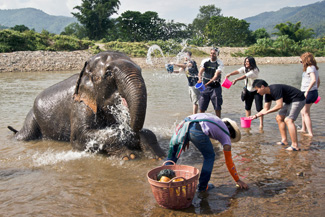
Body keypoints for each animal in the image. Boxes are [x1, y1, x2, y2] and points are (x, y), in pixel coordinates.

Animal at [7, 50, 165, 159]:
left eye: (141, 70)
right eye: (108, 74)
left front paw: (158, 155)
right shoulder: (79, 104)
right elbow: (78, 137)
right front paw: (128, 156)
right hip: (32, 117)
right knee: (24, 135)